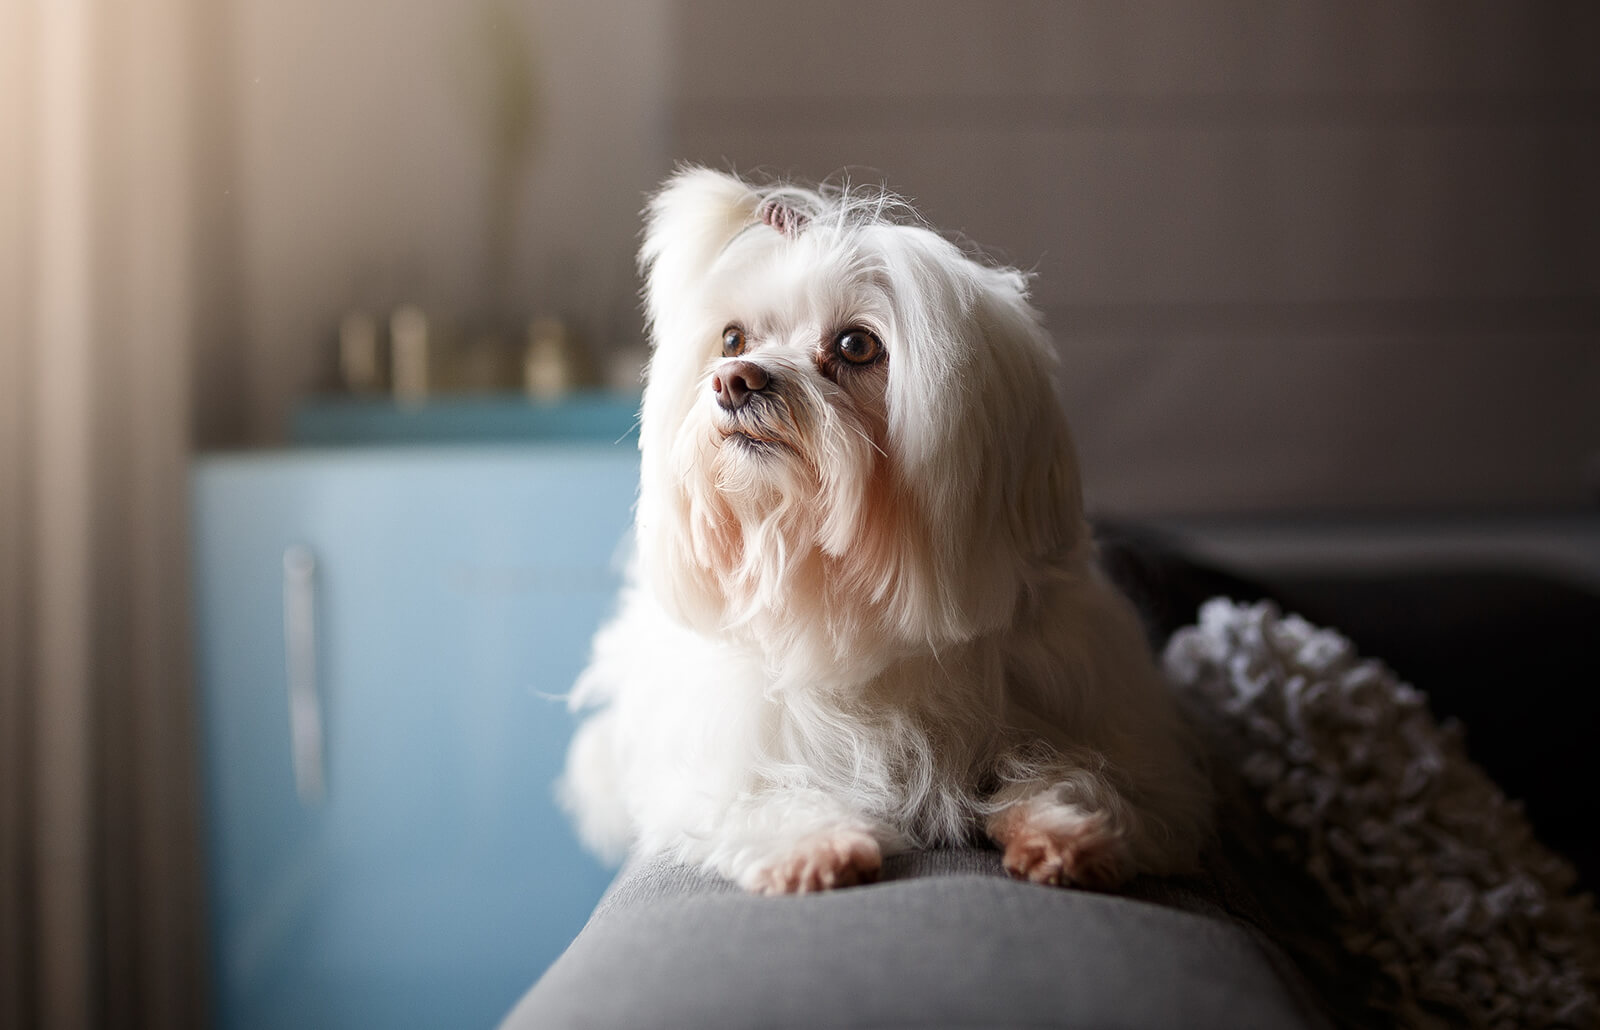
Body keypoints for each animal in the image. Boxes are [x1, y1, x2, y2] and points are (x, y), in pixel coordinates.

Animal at [556, 168, 1203, 895]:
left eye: (856, 345)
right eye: (732, 340)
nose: (734, 381)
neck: (848, 601)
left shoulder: (1114, 725)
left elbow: (1090, 773)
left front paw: (1065, 829)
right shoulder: (717, 753)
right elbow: (753, 788)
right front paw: (813, 842)